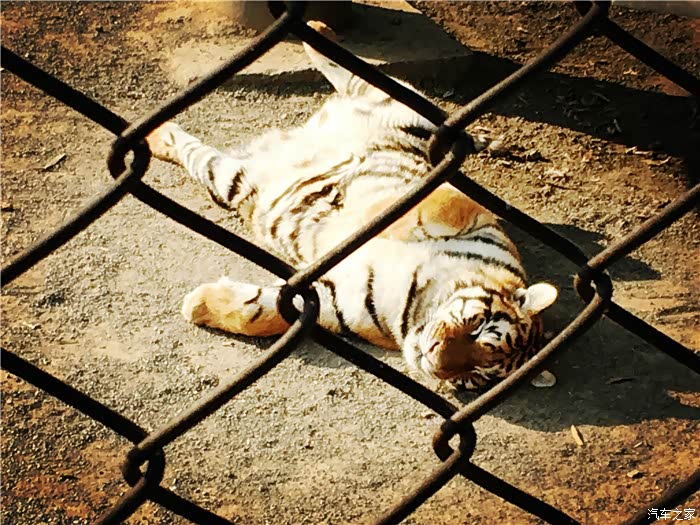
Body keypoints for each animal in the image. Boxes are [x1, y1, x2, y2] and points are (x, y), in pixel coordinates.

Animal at [145, 21, 558, 390]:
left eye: (476, 376)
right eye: (478, 329)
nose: (435, 362)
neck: (413, 306)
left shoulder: (333, 301)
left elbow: (262, 313)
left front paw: (200, 304)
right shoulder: (459, 207)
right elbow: (411, 206)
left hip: (234, 181)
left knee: (198, 156)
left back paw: (157, 136)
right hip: (412, 114)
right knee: (359, 76)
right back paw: (317, 29)